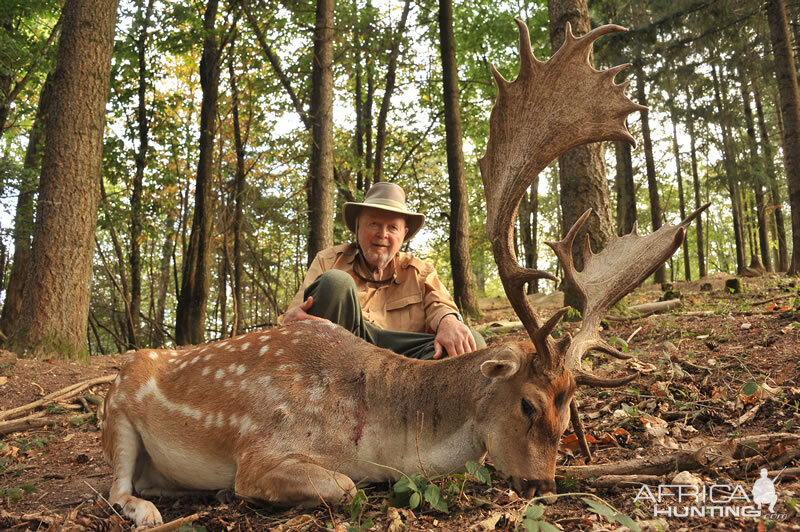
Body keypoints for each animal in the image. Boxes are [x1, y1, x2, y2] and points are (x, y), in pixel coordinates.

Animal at [101, 20, 708, 528]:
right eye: (529, 404)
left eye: (569, 414)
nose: (542, 485)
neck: (373, 434)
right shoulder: (261, 448)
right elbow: (343, 486)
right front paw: (237, 491)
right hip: (117, 416)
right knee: (115, 488)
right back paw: (151, 510)